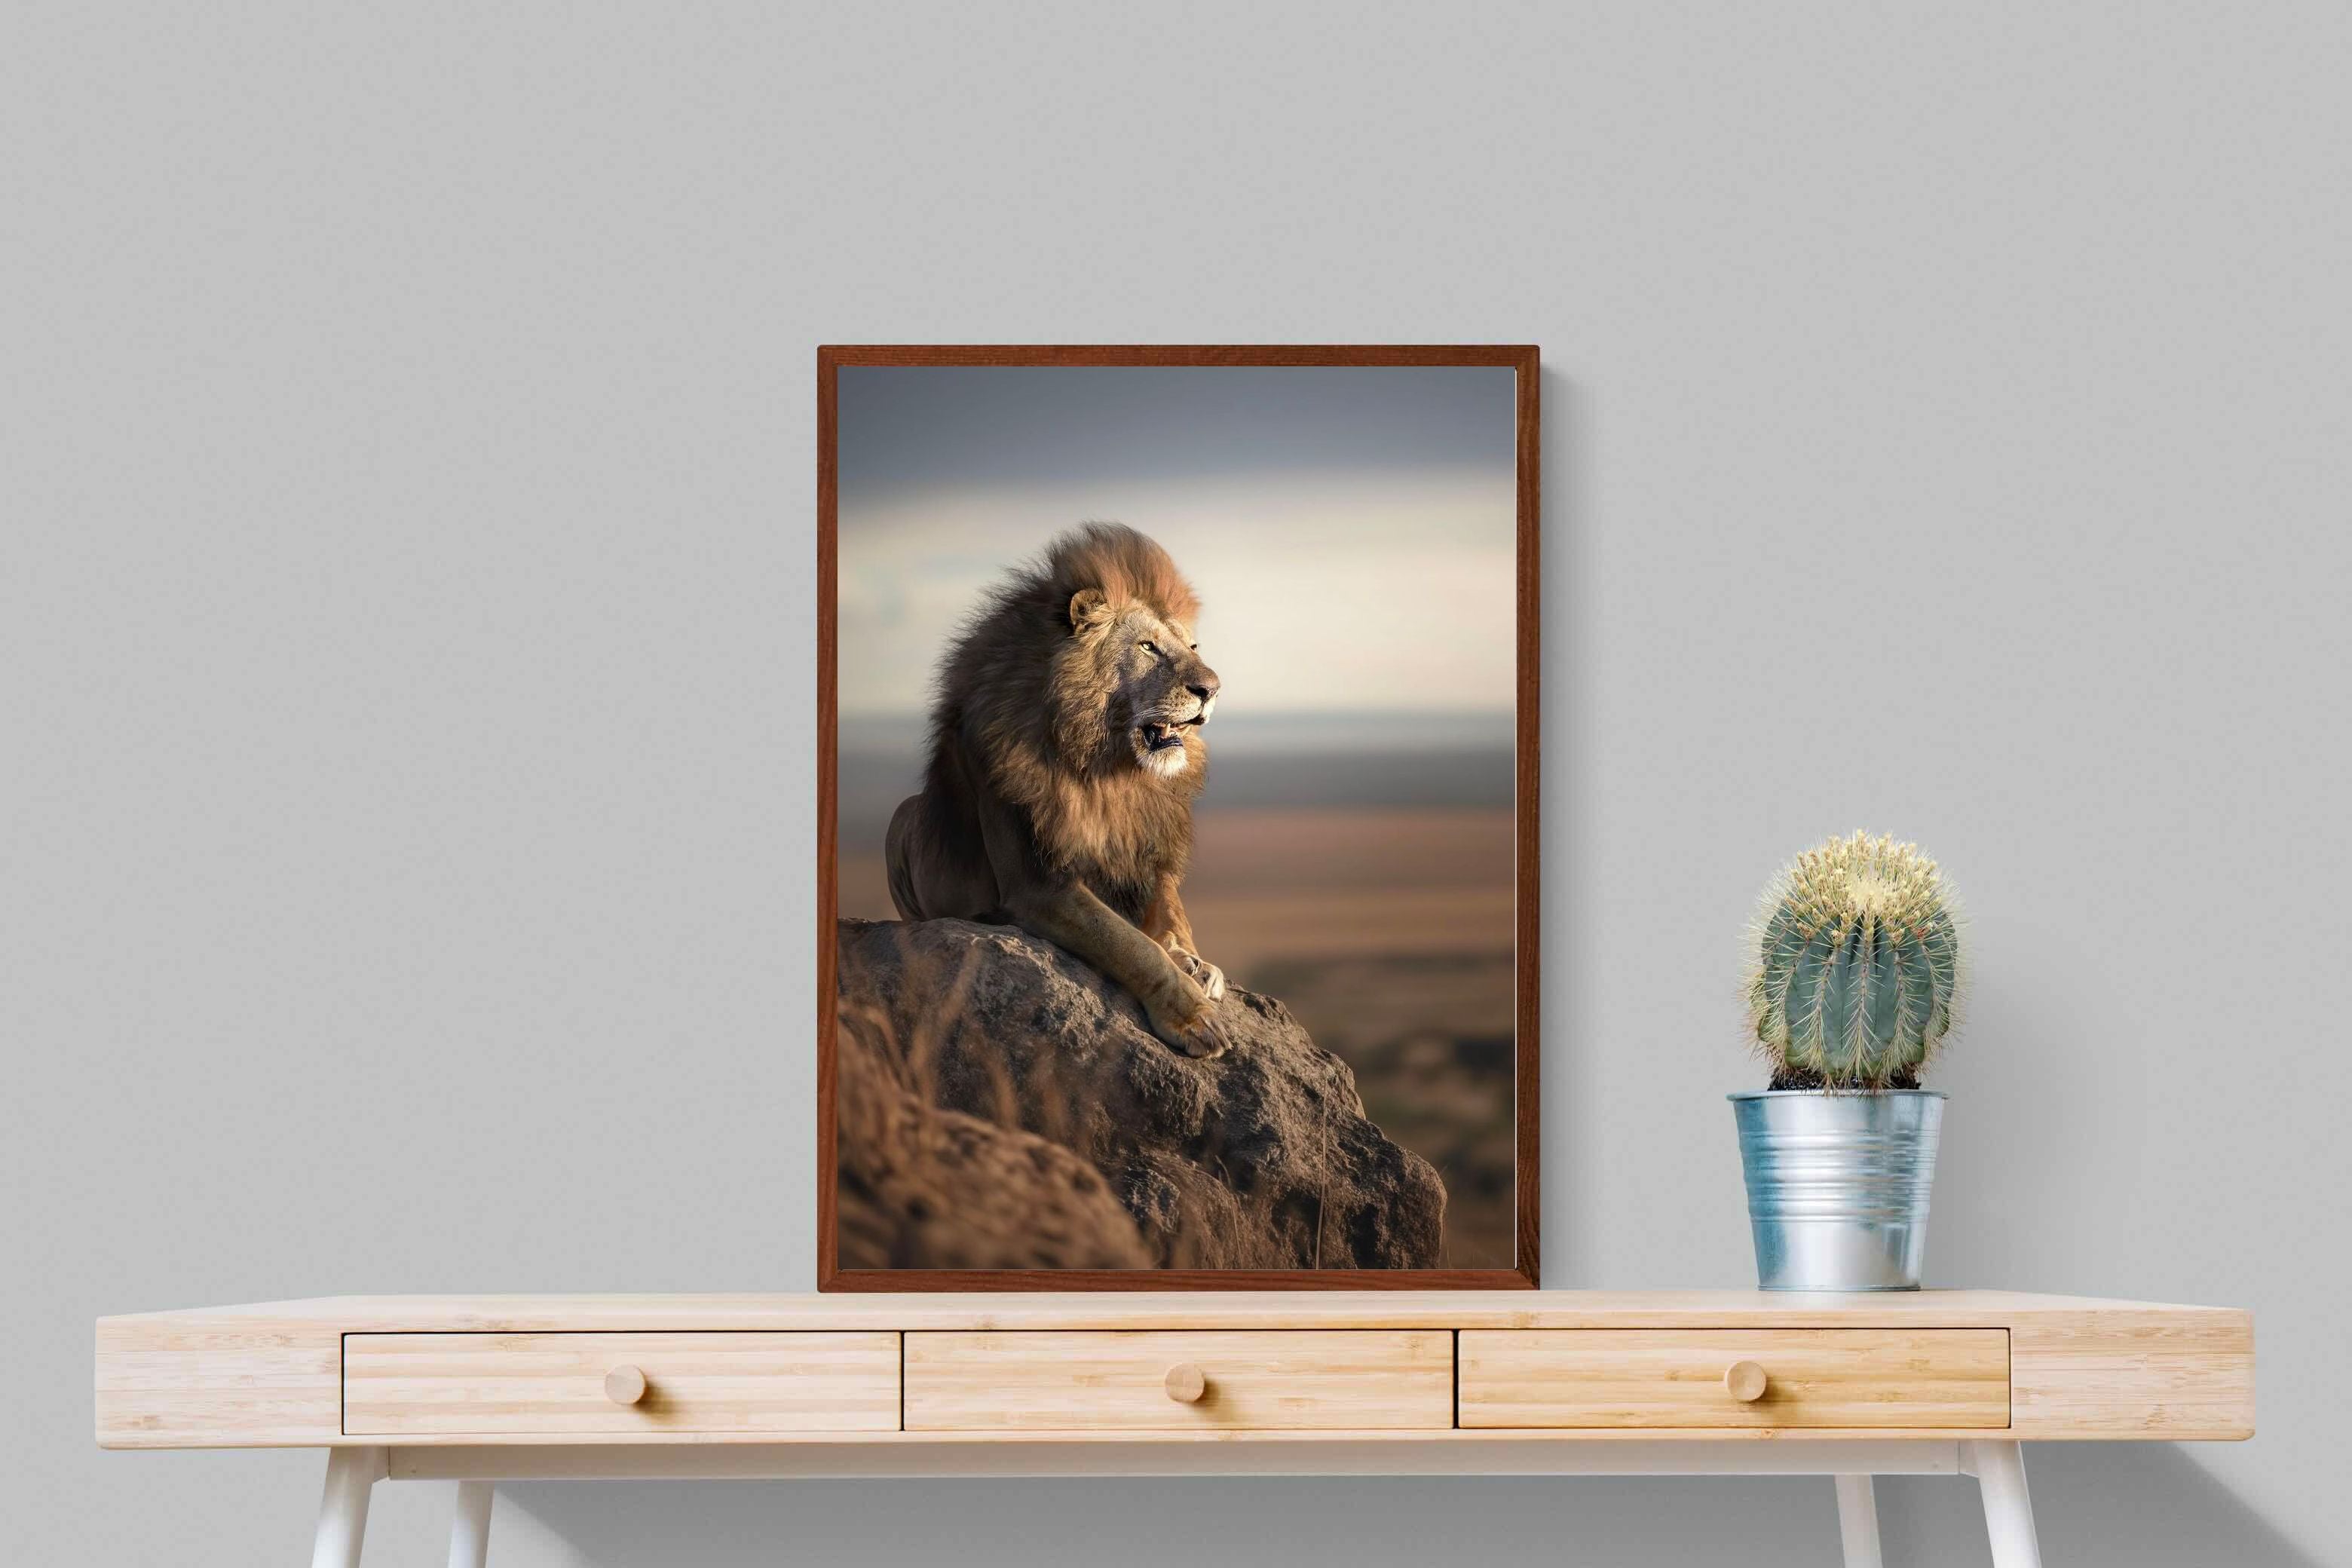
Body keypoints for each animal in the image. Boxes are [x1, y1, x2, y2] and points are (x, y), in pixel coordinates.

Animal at [884, 522, 1231, 1058]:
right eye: (1148, 648)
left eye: (1192, 649)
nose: (1211, 689)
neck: (1109, 766)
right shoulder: (1038, 885)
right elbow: (1130, 944)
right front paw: (1194, 1015)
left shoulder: (1148, 851)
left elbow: (1171, 916)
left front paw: (1195, 962)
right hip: (901, 819)